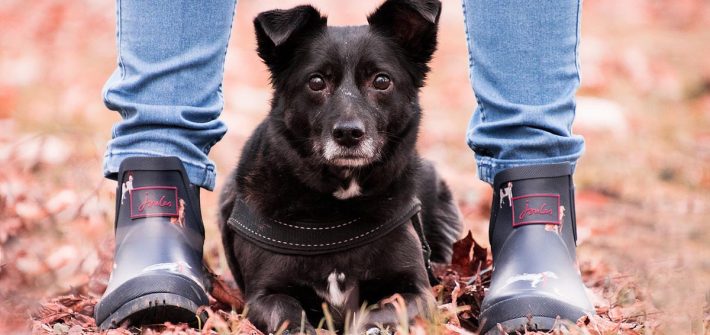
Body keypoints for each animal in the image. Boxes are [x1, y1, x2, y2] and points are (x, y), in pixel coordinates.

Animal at [221, 1, 462, 334]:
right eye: (316, 82)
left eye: (382, 81)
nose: (348, 133)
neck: (337, 206)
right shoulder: (263, 295)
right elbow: (287, 310)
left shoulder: (416, 290)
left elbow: (381, 312)